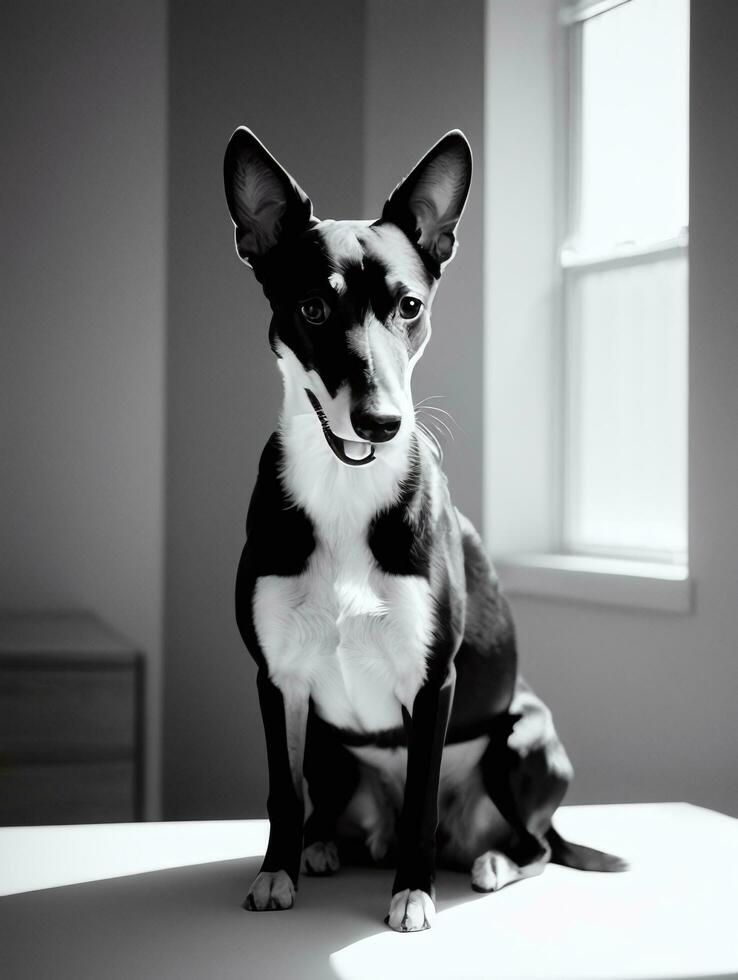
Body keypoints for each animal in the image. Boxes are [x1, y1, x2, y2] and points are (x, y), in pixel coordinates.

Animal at [221, 126, 624, 932]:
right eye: (312, 308)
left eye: (408, 306)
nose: (382, 421)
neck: (346, 485)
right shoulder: (277, 679)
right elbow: (283, 791)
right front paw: (277, 872)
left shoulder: (434, 681)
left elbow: (421, 801)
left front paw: (413, 892)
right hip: (331, 745)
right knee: (326, 802)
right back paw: (324, 846)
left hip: (523, 739)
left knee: (533, 845)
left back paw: (490, 861)